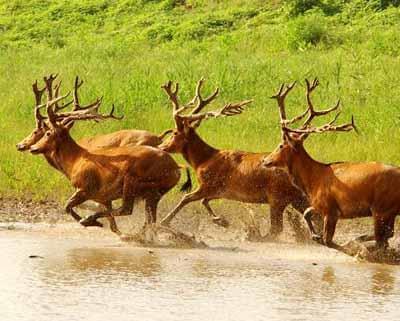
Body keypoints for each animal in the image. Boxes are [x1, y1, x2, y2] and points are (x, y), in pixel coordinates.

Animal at [28, 76, 191, 234]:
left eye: (48, 133)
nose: (32, 148)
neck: (74, 161)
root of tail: (176, 167)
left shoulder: (86, 188)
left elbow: (67, 206)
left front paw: (91, 222)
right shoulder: (104, 197)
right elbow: (112, 225)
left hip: (133, 181)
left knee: (127, 209)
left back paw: (90, 219)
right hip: (155, 191)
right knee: (149, 219)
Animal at [156, 78, 316, 238]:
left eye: (174, 132)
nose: (162, 147)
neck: (202, 161)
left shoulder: (208, 184)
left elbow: (186, 198)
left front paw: (164, 222)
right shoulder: (221, 190)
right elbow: (204, 201)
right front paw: (221, 220)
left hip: (277, 196)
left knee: (277, 228)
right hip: (296, 197)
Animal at [262, 79, 400, 249]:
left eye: (280, 145)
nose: (265, 160)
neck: (313, 181)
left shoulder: (331, 209)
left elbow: (328, 240)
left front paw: (341, 244)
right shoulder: (319, 205)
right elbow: (307, 213)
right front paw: (315, 235)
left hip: (381, 207)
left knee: (382, 240)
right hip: (389, 210)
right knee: (386, 236)